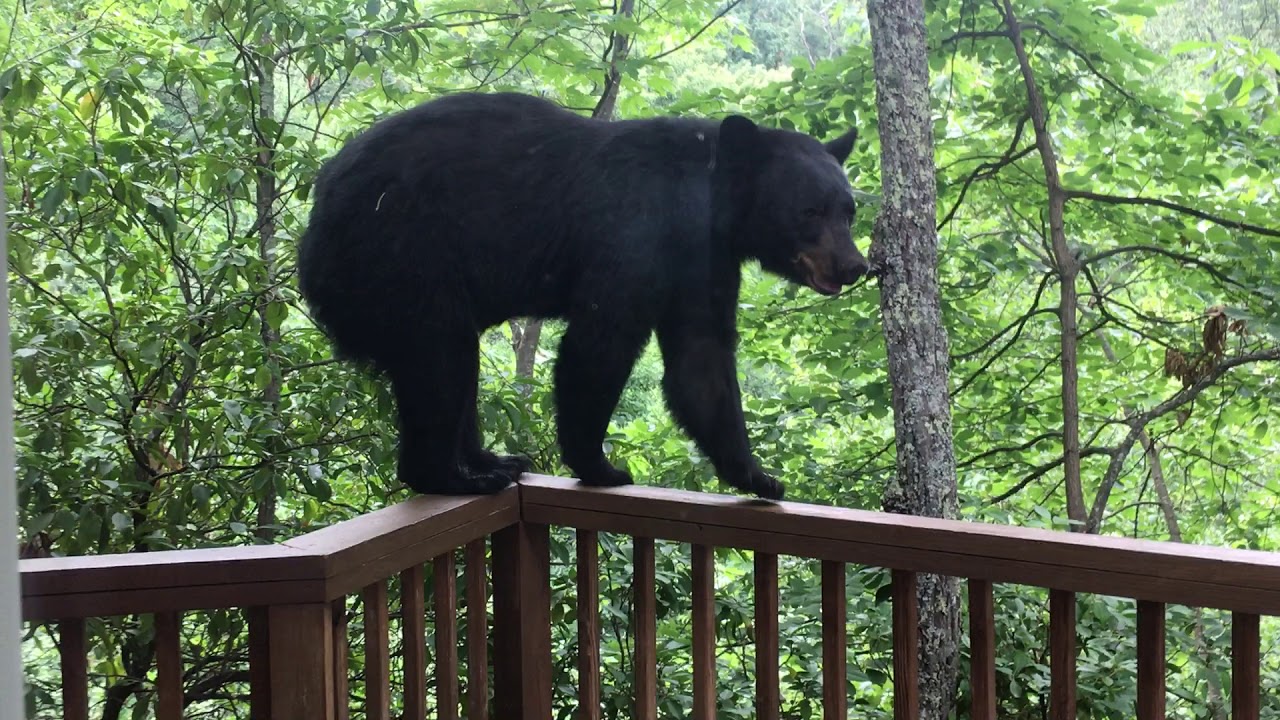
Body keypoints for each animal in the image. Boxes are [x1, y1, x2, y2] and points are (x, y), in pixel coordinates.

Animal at [296, 91, 869, 500]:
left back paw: (489, 459)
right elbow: (601, 341)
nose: (855, 266)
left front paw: (757, 476)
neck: (706, 202)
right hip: (401, 261)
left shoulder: (701, 260)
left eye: (848, 209)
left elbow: (701, 357)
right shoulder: (635, 233)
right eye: (809, 211)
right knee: (441, 358)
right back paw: (455, 476)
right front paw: (602, 465)